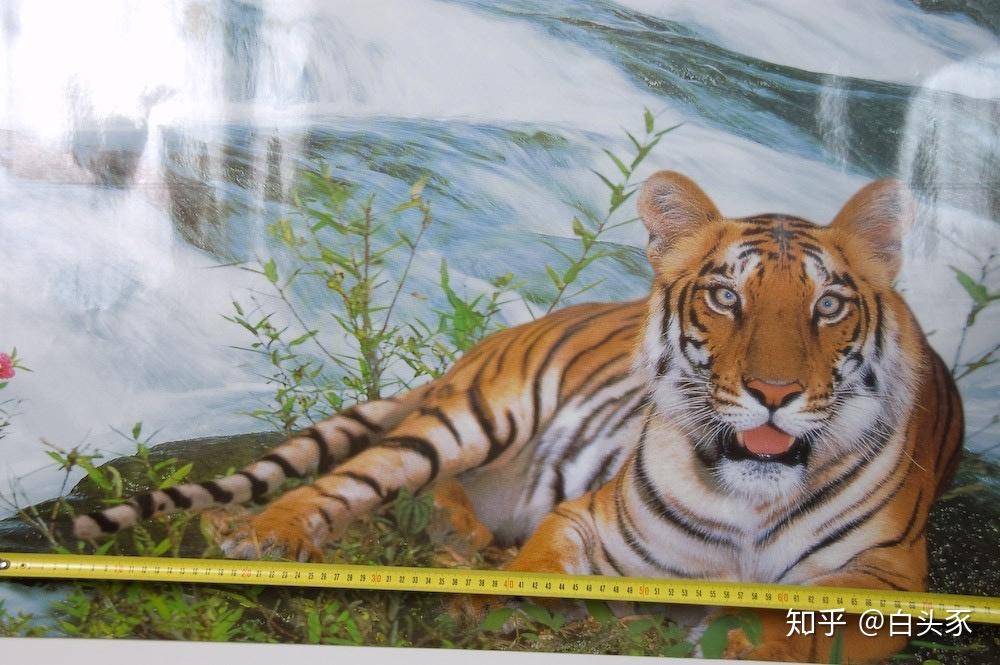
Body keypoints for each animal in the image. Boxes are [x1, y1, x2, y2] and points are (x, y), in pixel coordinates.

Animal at [74, 170, 963, 663]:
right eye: (724, 296)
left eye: (828, 306)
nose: (773, 391)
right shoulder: (590, 519)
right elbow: (538, 565)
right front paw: (491, 604)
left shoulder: (891, 578)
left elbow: (811, 629)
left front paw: (747, 639)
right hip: (473, 416)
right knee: (357, 479)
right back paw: (271, 534)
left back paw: (459, 540)